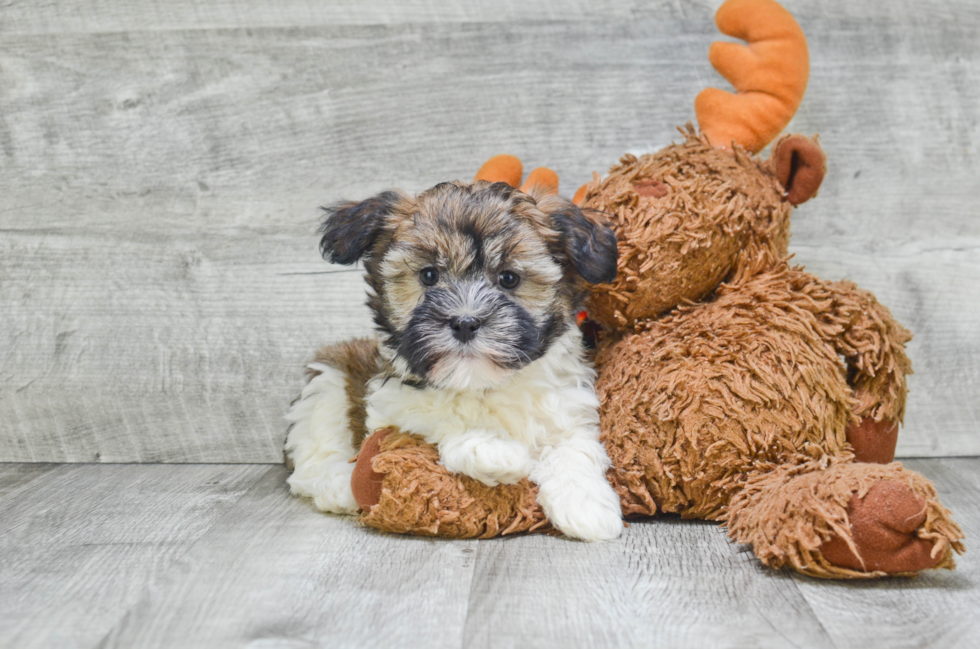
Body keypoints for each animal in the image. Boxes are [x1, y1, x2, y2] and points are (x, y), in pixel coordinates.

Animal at [286, 180, 620, 540]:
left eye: (509, 278)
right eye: (429, 275)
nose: (465, 322)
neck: (480, 382)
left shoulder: (570, 405)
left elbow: (574, 445)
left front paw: (586, 504)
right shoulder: (390, 402)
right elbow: (435, 415)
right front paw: (493, 451)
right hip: (329, 381)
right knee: (311, 459)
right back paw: (339, 485)